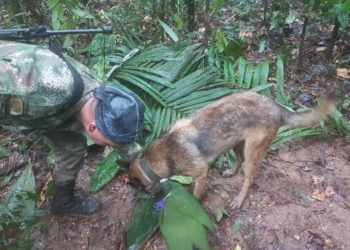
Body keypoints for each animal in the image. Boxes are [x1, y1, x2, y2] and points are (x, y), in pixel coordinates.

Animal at [127, 92, 334, 209]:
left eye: (139, 188)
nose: (148, 197)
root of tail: (275, 105)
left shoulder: (201, 174)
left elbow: (196, 194)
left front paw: (194, 204)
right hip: (235, 141)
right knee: (239, 159)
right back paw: (231, 172)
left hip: (252, 151)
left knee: (249, 178)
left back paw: (239, 200)